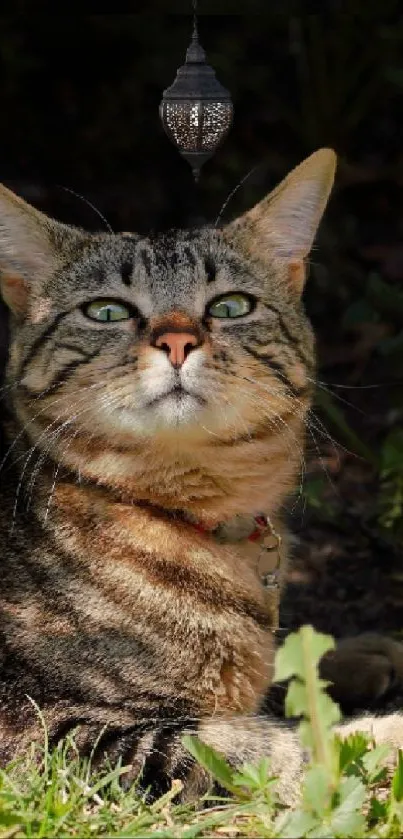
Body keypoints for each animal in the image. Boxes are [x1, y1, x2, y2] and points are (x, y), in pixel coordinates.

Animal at [0, 148, 403, 804]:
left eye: (230, 306)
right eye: (106, 311)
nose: (177, 341)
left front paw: (348, 655)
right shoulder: (48, 732)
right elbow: (266, 744)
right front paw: (384, 733)